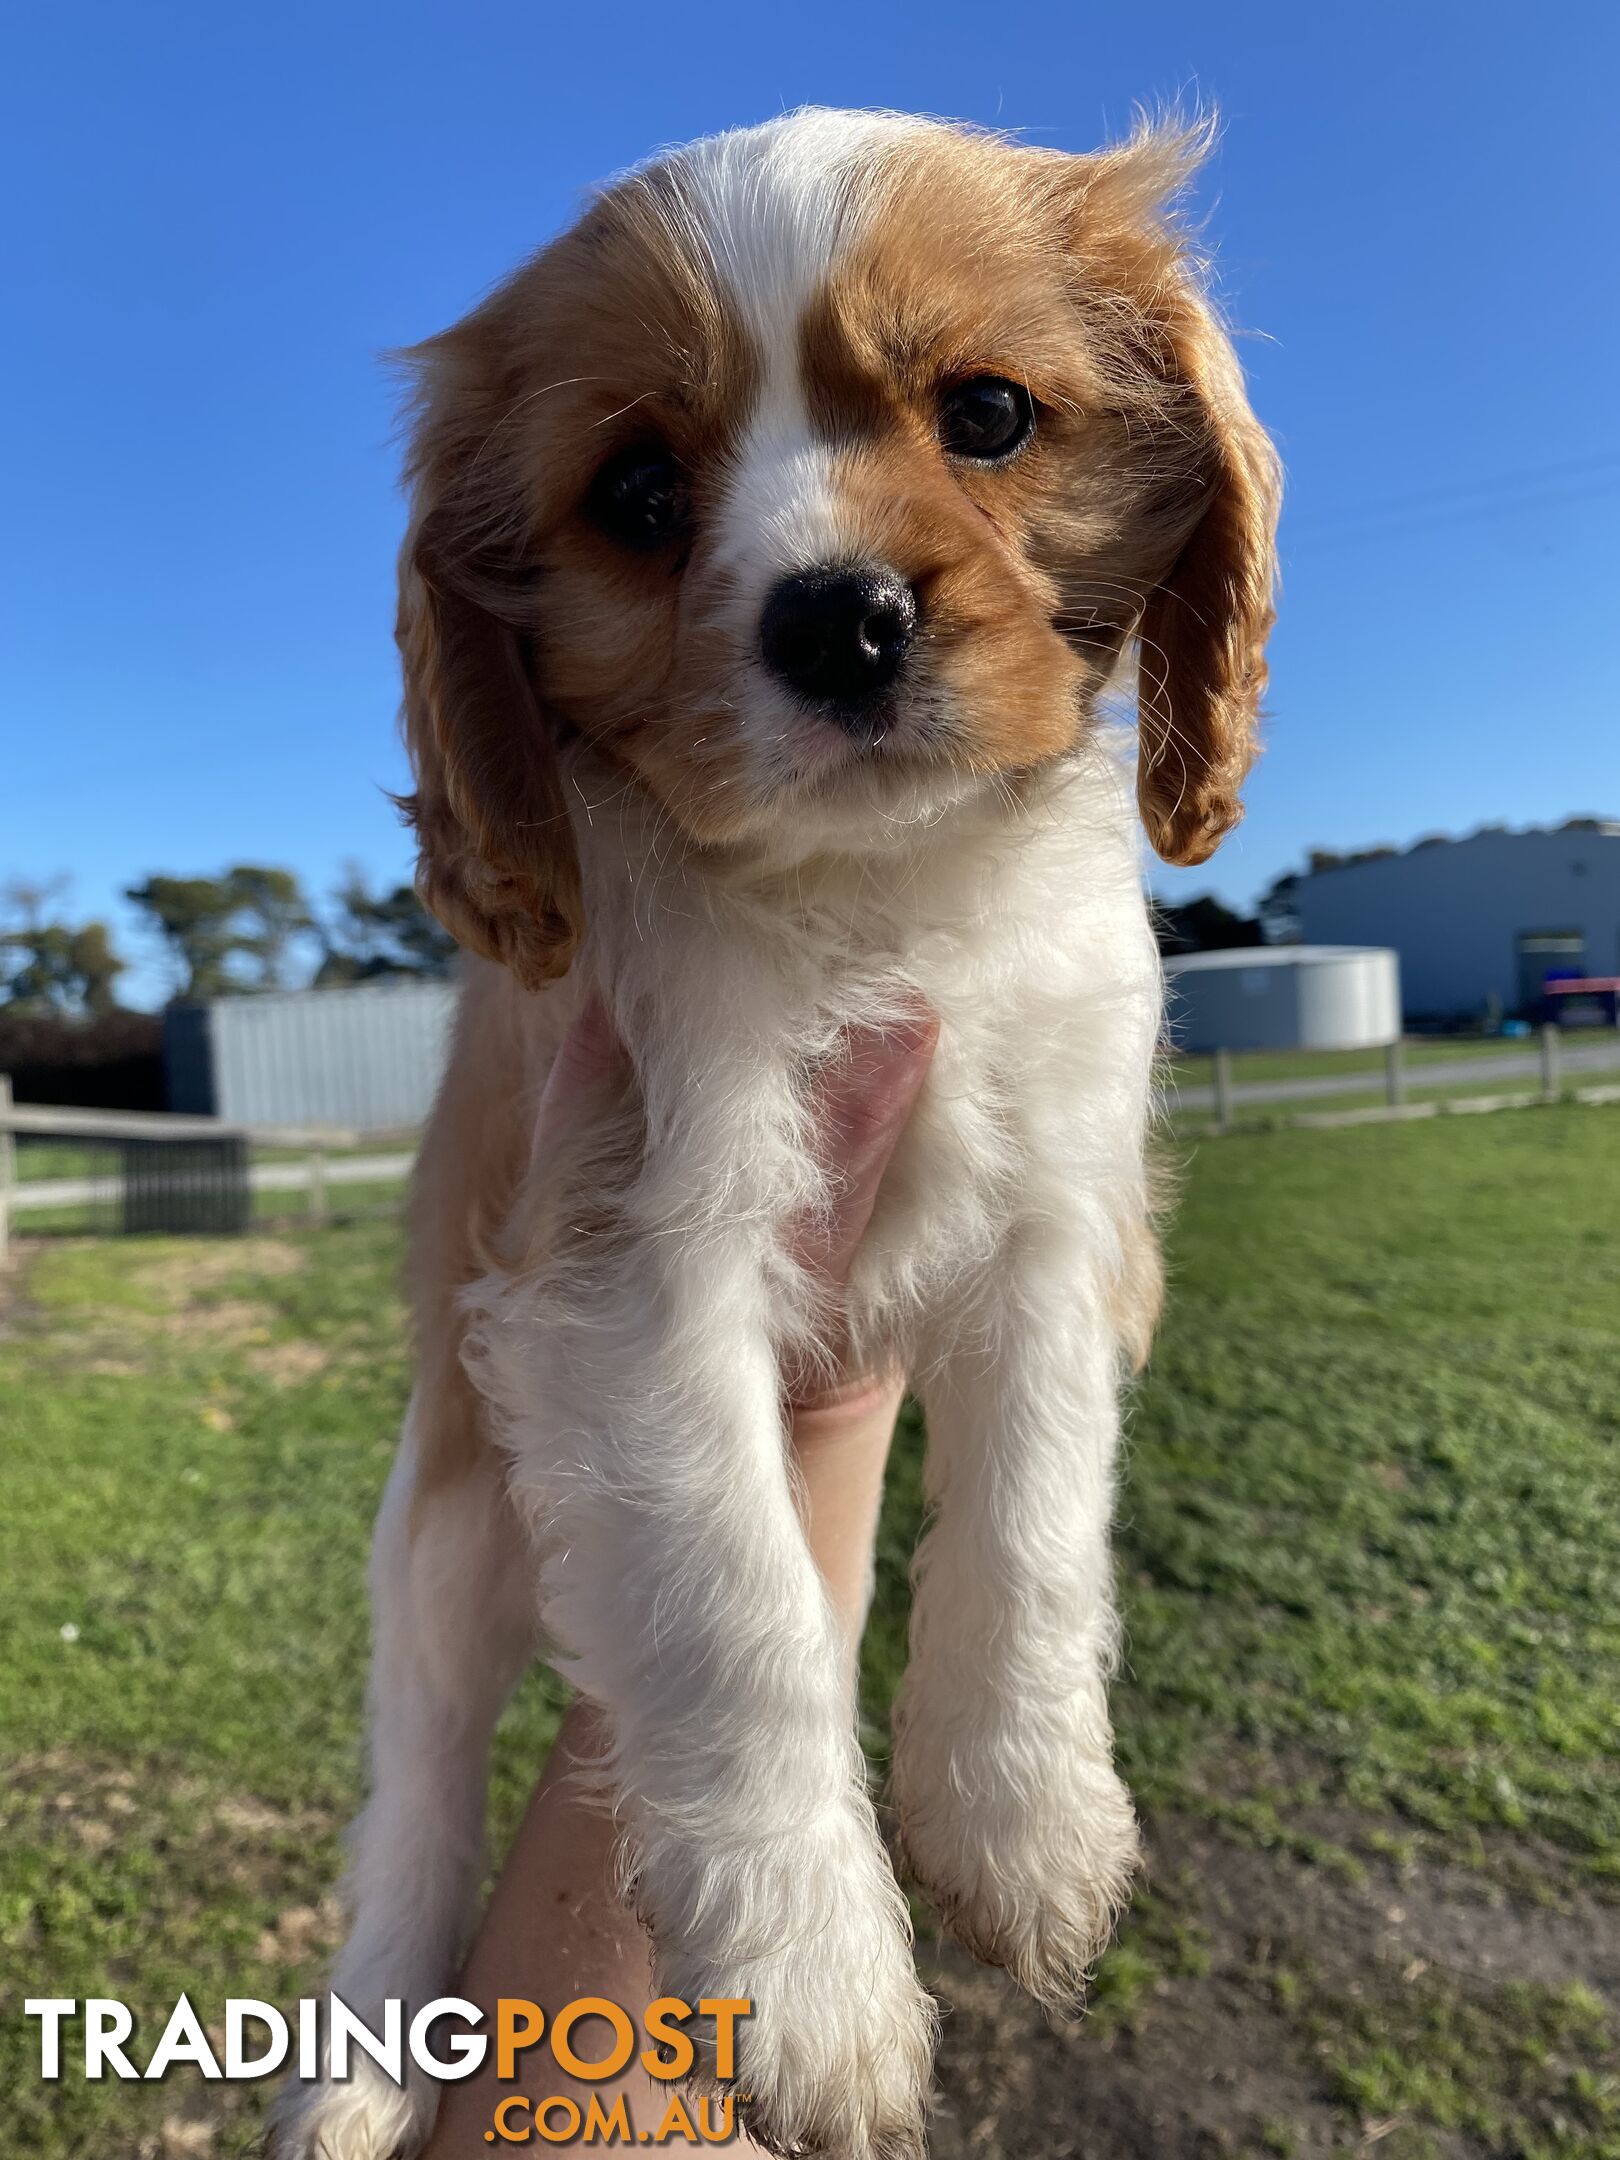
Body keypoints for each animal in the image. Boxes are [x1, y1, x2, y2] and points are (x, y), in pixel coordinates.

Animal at [285, 105, 1287, 2160]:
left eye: (986, 414)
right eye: (638, 492)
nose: (842, 613)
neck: (880, 893)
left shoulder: (1065, 1214)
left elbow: (1036, 1510)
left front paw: (1022, 1822)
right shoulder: (630, 1263)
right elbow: (738, 1617)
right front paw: (817, 1979)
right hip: (438, 1539)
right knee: (418, 1798)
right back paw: (355, 2071)